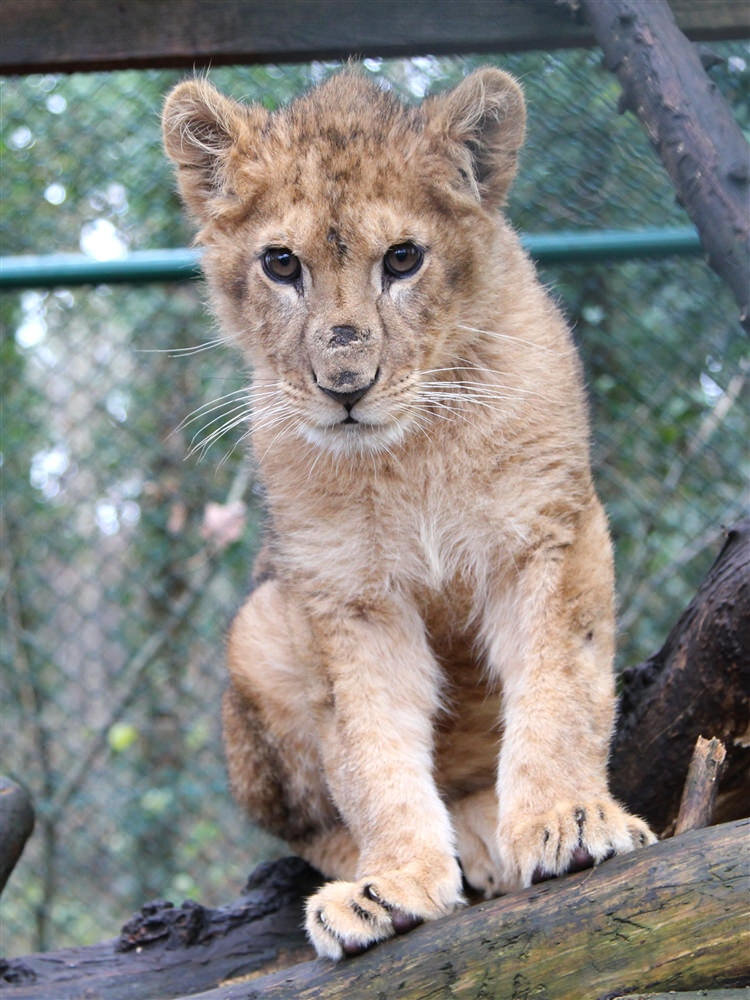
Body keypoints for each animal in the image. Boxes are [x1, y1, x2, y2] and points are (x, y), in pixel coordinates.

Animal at [162, 67, 655, 960]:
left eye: (403, 258)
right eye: (280, 263)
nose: (345, 384)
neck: (412, 450)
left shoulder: (549, 533)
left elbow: (560, 689)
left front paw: (567, 821)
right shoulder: (344, 593)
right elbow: (370, 749)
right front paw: (391, 883)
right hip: (259, 629)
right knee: (312, 822)